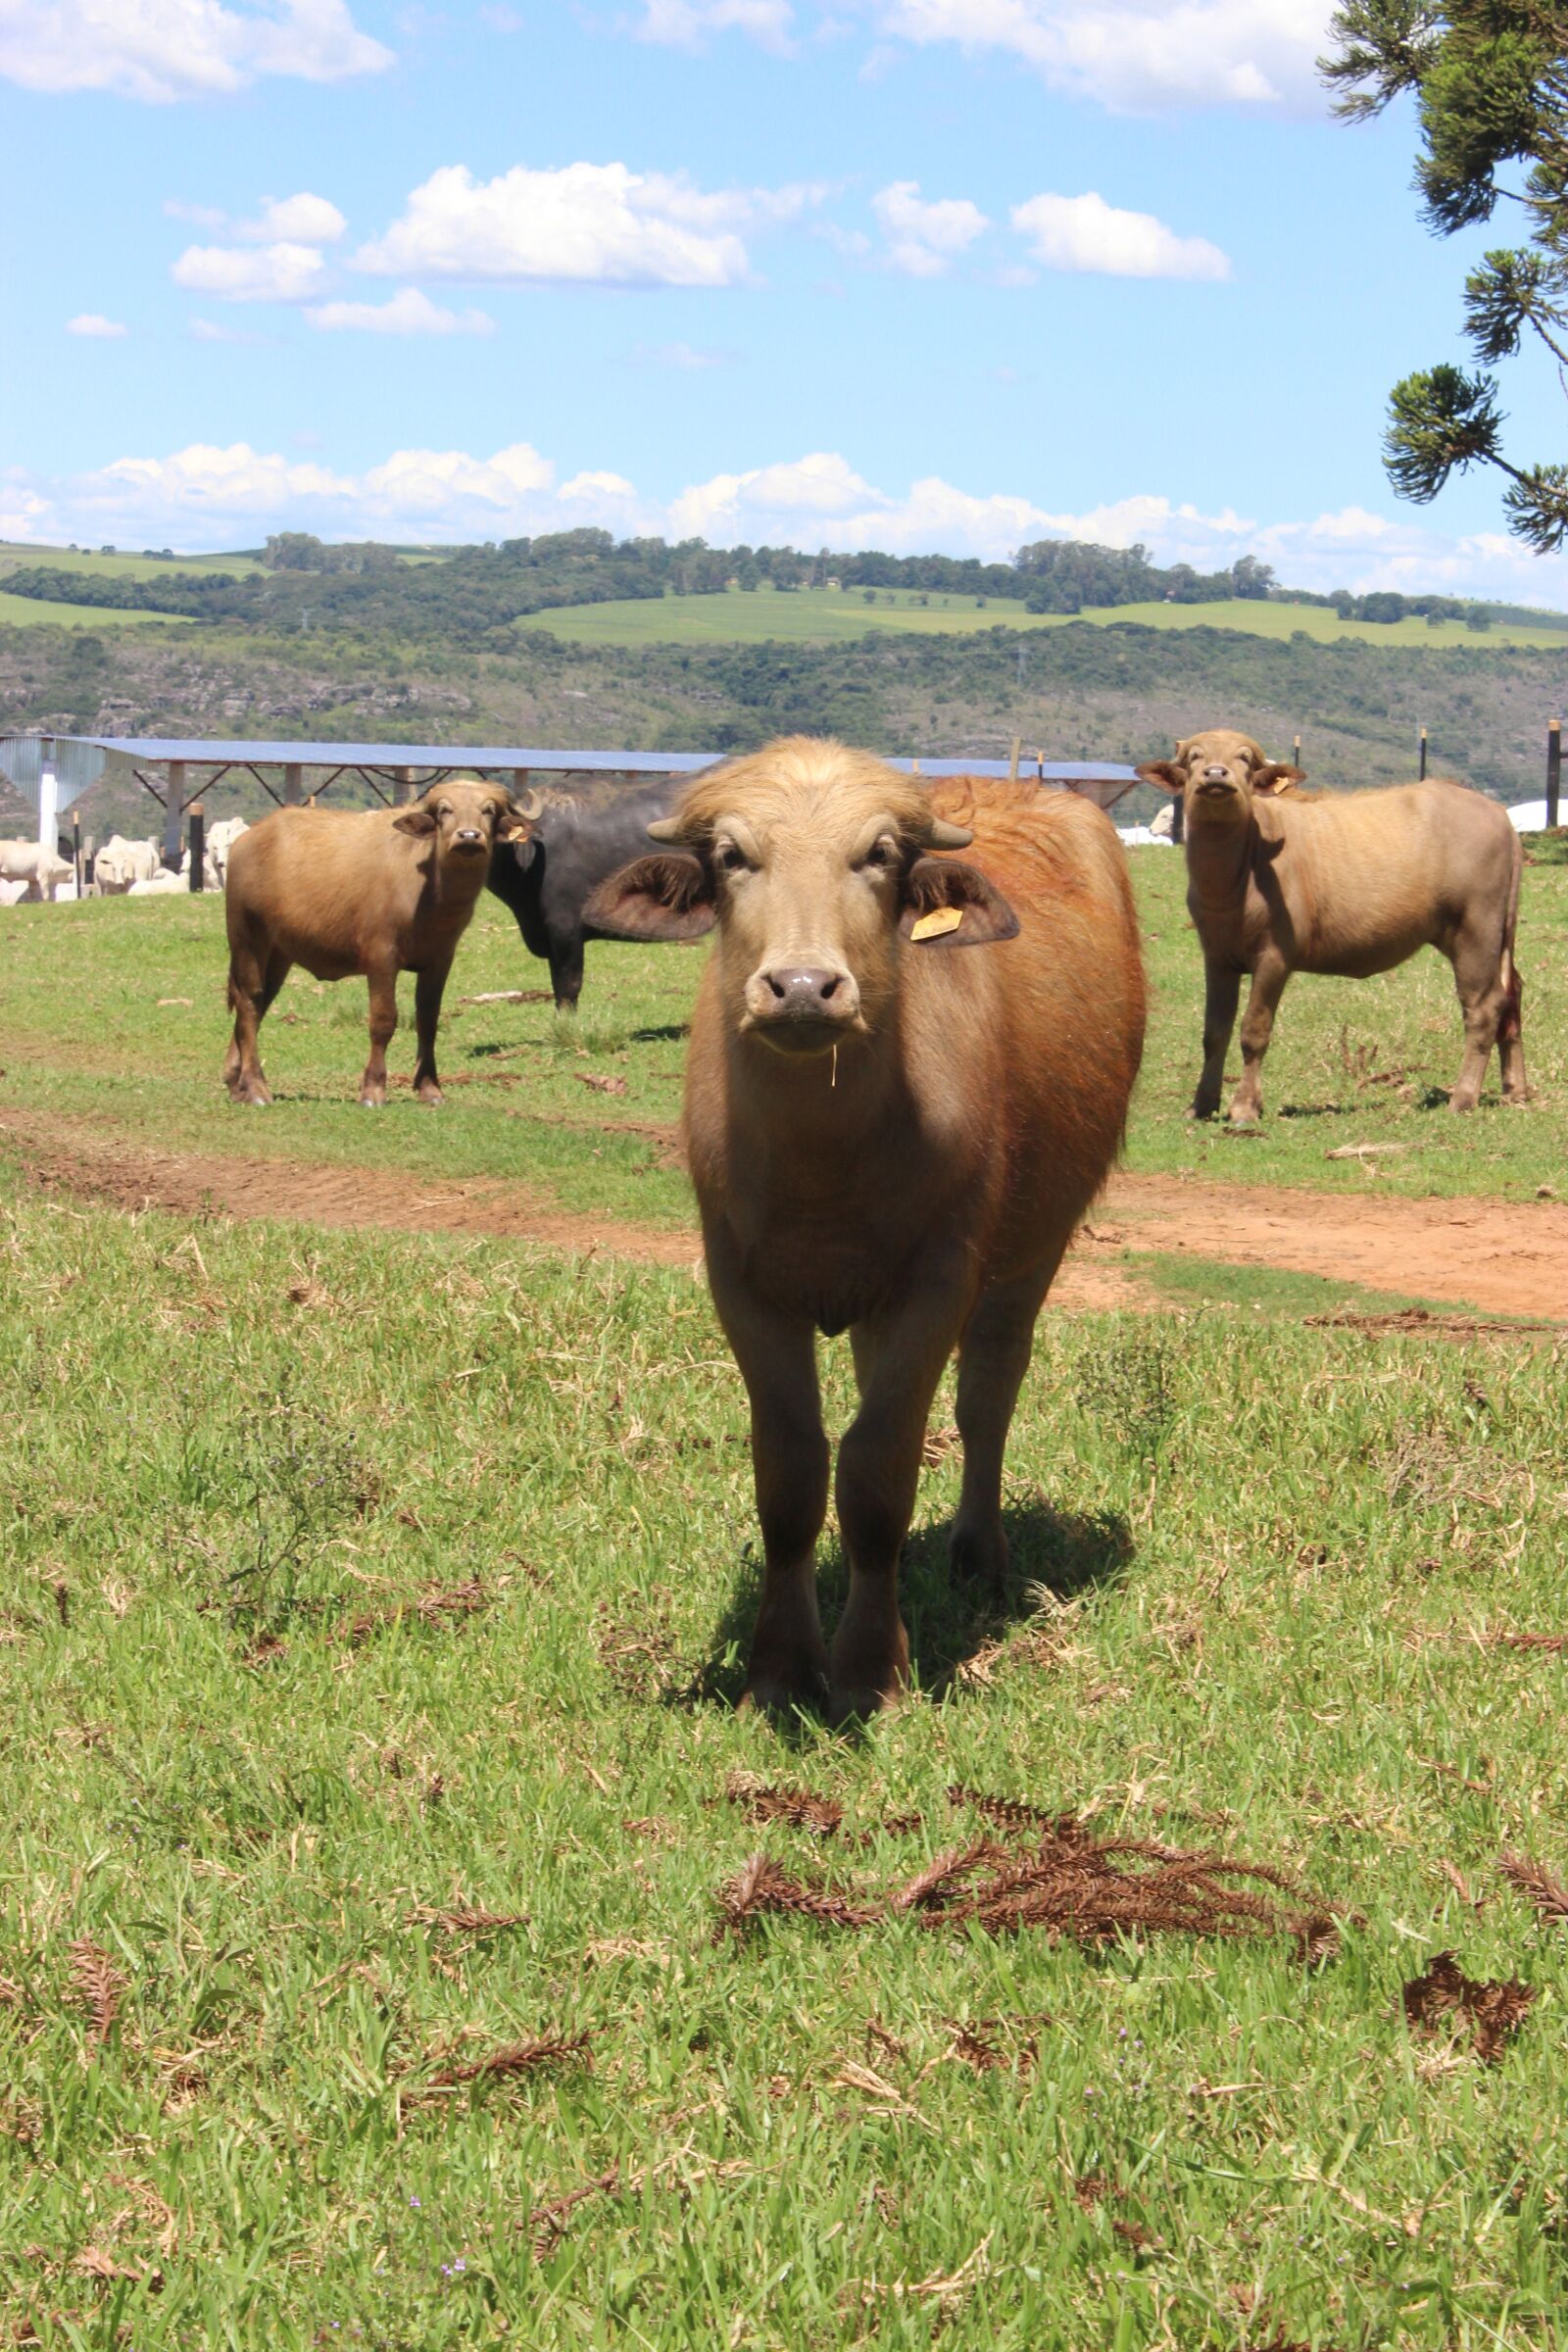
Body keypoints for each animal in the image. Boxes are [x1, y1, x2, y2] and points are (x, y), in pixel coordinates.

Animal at [222, 776, 529, 1108]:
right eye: (444, 810)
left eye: (488, 810)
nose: (469, 836)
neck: (431, 896)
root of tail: (247, 840)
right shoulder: (381, 957)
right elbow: (383, 1020)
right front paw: (373, 1089)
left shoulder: (440, 959)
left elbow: (428, 1019)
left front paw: (430, 1089)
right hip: (247, 939)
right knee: (250, 1001)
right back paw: (256, 1088)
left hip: (279, 952)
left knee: (260, 1001)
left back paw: (236, 1082)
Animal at [584, 736, 1145, 1722]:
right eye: (732, 855)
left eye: (879, 854)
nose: (804, 987)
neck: (825, 1158)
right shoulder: (742, 1284)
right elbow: (795, 1471)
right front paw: (778, 1665)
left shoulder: (937, 1280)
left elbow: (879, 1470)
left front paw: (869, 1670)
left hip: (1035, 1245)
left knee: (989, 1389)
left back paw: (978, 1551)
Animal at [1137, 728, 1527, 1124]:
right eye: (1194, 757)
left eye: (1244, 758)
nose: (1216, 774)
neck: (1234, 878)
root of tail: (1498, 814)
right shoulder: (1217, 957)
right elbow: (1214, 1033)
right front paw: (1201, 1104)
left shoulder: (1275, 956)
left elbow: (1254, 1030)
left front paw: (1245, 1106)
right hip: (1496, 936)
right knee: (1511, 996)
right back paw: (1515, 1090)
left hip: (1476, 929)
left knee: (1484, 1007)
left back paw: (1463, 1097)